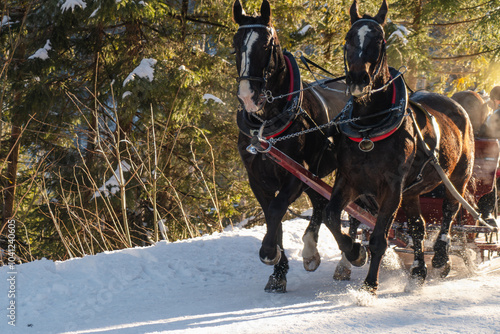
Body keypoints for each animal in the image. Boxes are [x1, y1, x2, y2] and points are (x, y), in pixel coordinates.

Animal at [232, 0, 350, 290]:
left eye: (267, 44)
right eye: (235, 43)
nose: (248, 96)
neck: (268, 124)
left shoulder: (296, 175)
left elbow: (277, 210)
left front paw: (268, 253)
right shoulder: (257, 179)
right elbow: (272, 217)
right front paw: (278, 272)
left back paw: (340, 259)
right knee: (321, 205)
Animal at [324, 0, 472, 292]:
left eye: (379, 39)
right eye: (349, 37)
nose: (358, 79)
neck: (370, 127)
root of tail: (456, 105)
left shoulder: (391, 187)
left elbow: (379, 237)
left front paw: (370, 284)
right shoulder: (349, 181)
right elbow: (332, 218)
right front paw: (354, 252)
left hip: (458, 177)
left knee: (450, 212)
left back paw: (441, 257)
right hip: (413, 191)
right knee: (417, 227)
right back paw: (418, 271)